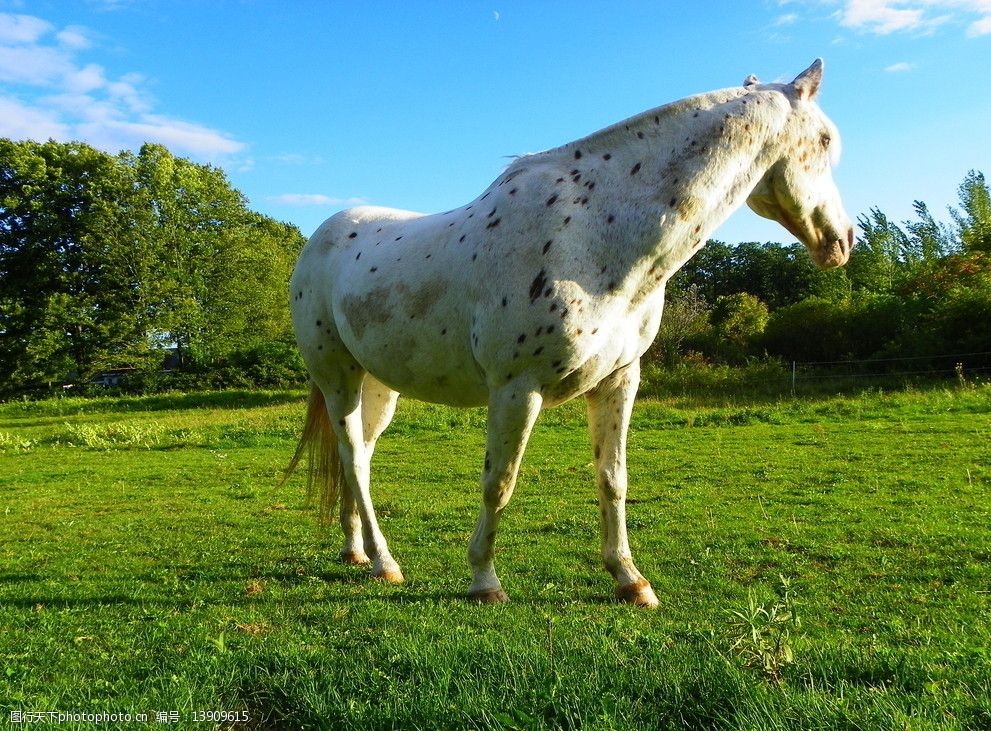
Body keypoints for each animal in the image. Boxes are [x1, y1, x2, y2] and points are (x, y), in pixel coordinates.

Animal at [284, 58, 852, 608]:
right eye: (826, 142)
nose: (842, 240)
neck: (593, 235)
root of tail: (322, 238)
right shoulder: (517, 389)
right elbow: (499, 483)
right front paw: (485, 581)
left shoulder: (619, 380)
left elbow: (613, 479)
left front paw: (630, 580)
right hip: (338, 378)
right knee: (353, 457)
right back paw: (385, 563)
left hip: (379, 385)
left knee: (358, 459)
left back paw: (357, 551)